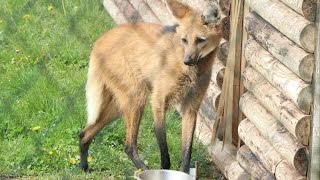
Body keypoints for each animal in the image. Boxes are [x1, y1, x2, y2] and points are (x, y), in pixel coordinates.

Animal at [79, 0, 221, 172]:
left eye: (200, 40)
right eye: (184, 40)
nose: (187, 61)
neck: (192, 71)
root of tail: (99, 40)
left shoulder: (191, 107)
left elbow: (187, 152)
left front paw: (184, 172)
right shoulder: (158, 101)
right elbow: (164, 149)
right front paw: (163, 171)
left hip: (119, 105)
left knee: (85, 133)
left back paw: (84, 167)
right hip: (137, 97)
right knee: (129, 146)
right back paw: (144, 170)